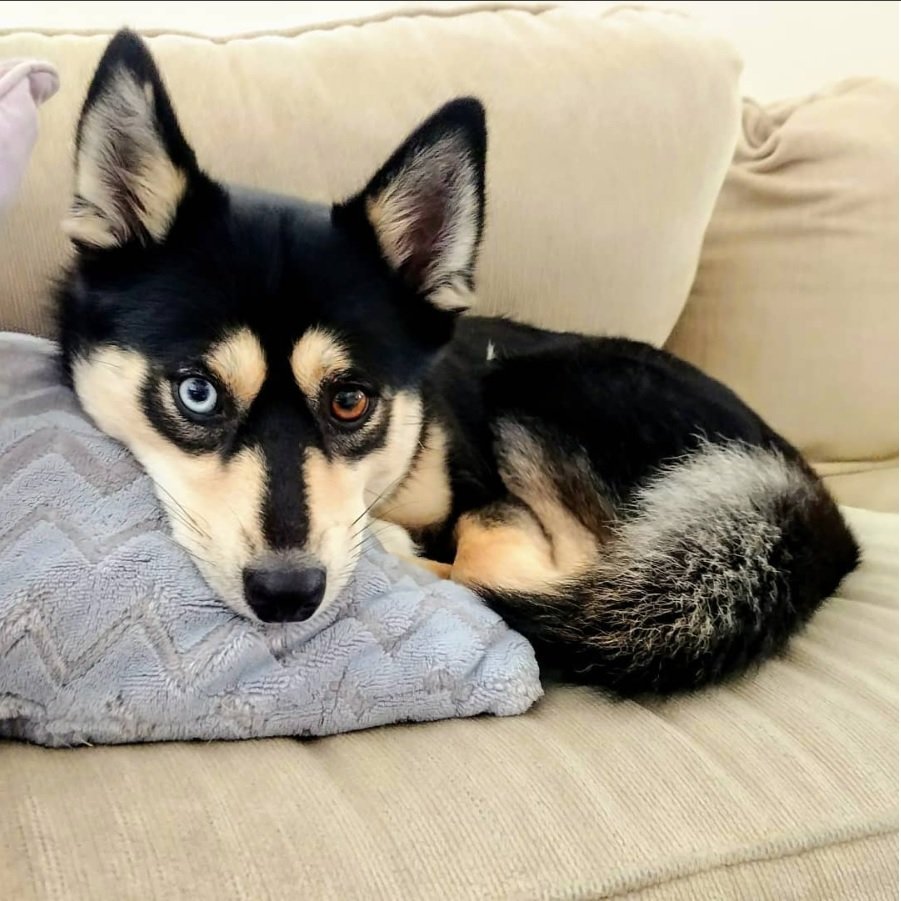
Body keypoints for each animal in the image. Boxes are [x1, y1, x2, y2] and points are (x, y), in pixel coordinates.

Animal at [56, 26, 856, 688]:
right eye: (197, 392)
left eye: (350, 400)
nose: (287, 596)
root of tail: (801, 489)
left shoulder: (487, 496)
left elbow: (487, 547)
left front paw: (402, 543)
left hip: (532, 387)